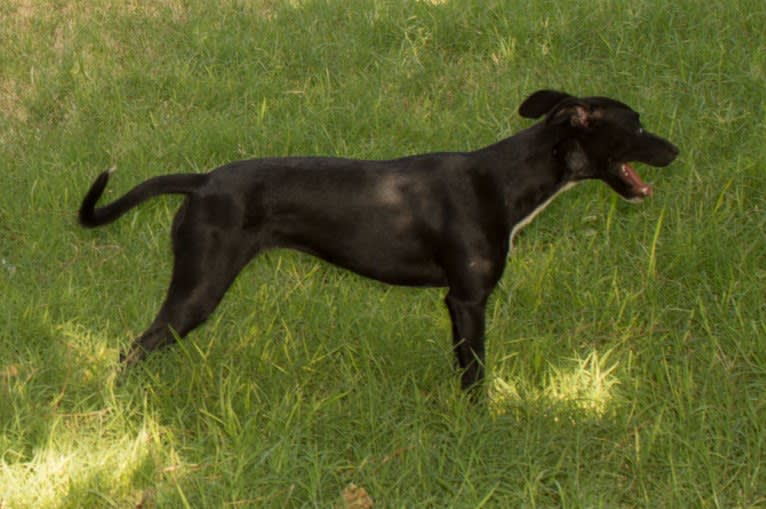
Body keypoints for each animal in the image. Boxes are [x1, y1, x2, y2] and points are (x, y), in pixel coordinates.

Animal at [79, 90, 680, 388]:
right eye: (637, 125)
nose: (676, 148)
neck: (505, 180)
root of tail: (203, 181)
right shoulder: (467, 300)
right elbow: (475, 376)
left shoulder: (457, 305)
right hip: (198, 288)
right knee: (131, 351)